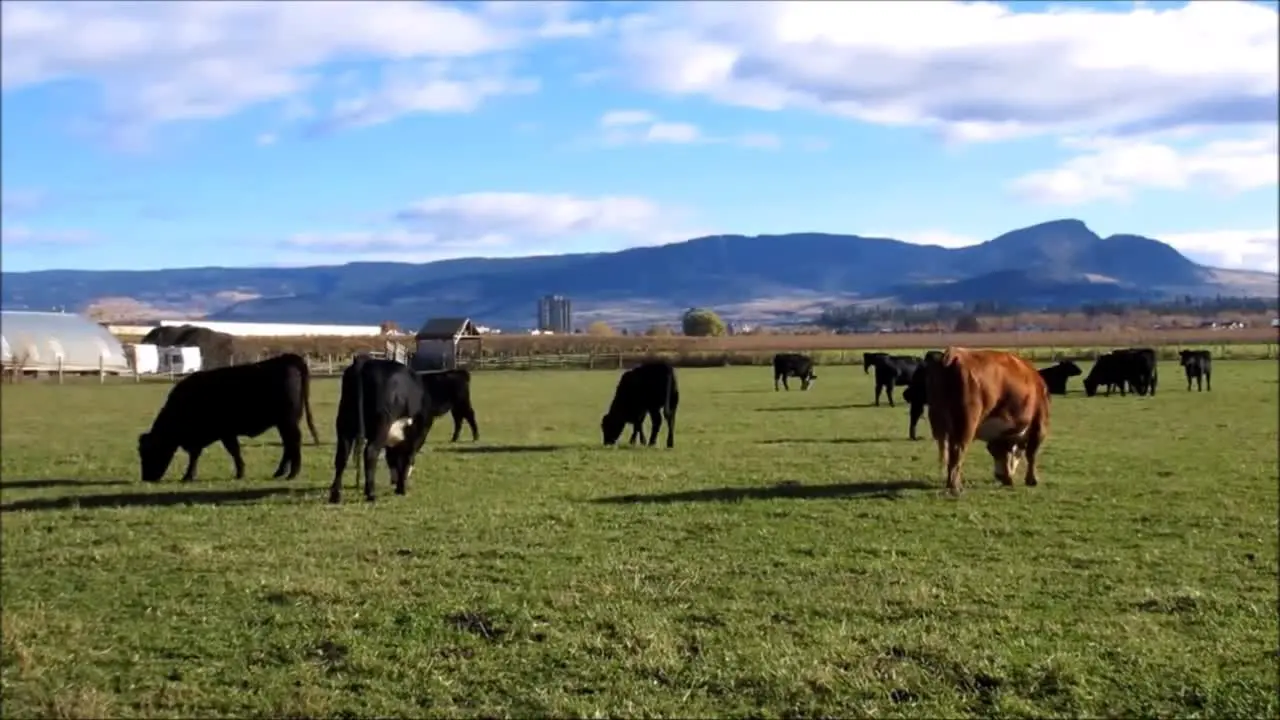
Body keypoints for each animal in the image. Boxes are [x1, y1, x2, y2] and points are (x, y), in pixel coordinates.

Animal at [136, 348, 317, 479]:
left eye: (149, 452)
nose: (146, 478)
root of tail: (288, 358)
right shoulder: (206, 436)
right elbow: (196, 455)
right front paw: (189, 475)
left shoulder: (225, 433)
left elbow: (233, 451)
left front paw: (239, 473)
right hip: (284, 423)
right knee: (288, 445)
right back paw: (280, 472)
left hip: (287, 421)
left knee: (293, 442)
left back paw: (292, 474)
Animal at [330, 353, 435, 502]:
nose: (393, 482)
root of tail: (364, 361)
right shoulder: (415, 436)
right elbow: (407, 458)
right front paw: (401, 489)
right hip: (381, 426)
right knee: (370, 452)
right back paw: (371, 494)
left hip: (344, 425)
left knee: (341, 456)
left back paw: (335, 496)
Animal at [931, 345, 1049, 491]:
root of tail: (954, 353)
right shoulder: (1039, 425)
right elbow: (1031, 453)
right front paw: (1031, 480)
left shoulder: (1001, 435)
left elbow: (1000, 453)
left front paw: (1005, 477)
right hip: (967, 423)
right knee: (958, 449)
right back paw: (955, 486)